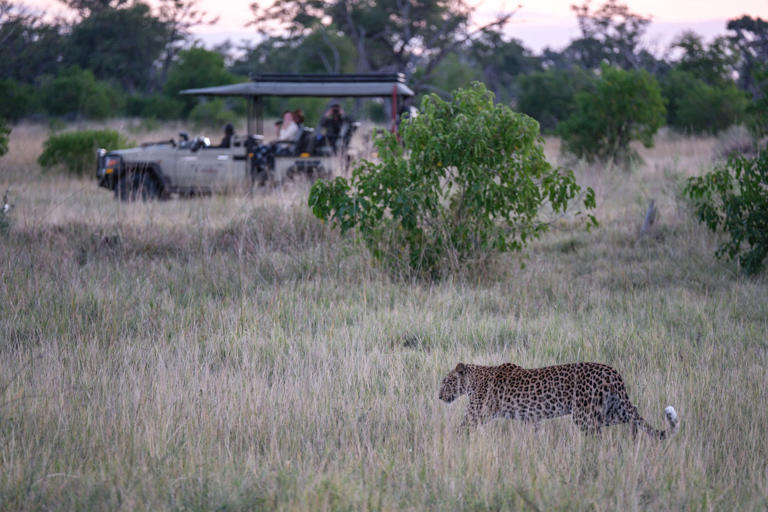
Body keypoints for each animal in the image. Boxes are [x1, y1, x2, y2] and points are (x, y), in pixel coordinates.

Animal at [439, 362, 679, 439]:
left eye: (445, 381)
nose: (439, 396)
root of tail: (613, 372)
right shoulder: (532, 417)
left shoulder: (475, 414)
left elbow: (460, 429)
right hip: (610, 410)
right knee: (634, 417)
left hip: (584, 415)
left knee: (597, 436)